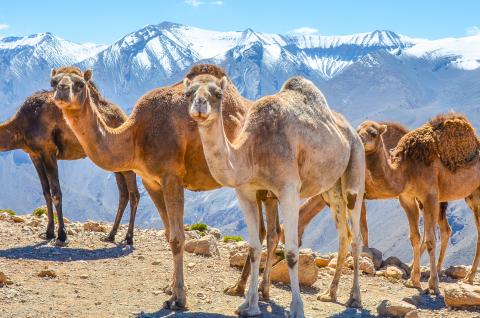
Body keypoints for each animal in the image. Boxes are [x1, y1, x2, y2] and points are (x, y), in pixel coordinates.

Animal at [0, 67, 139, 246]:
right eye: (52, 82)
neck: (23, 123)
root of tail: (124, 116)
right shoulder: (34, 154)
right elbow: (45, 192)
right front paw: (48, 232)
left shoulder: (48, 151)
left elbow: (56, 193)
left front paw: (61, 236)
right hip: (115, 162)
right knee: (123, 194)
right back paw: (110, 235)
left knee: (134, 194)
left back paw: (128, 238)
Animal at [50, 63, 286, 310]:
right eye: (53, 82)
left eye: (80, 83)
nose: (62, 90)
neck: (136, 135)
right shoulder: (151, 181)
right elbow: (167, 233)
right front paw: (170, 288)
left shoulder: (171, 176)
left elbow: (177, 237)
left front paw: (179, 298)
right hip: (254, 186)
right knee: (266, 231)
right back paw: (243, 288)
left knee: (270, 232)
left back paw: (257, 290)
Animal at [186, 74, 366, 316]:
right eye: (188, 93)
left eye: (218, 94)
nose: (200, 105)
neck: (252, 151)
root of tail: (353, 132)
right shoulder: (247, 193)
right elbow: (254, 247)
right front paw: (250, 305)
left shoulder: (289, 189)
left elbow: (290, 252)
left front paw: (297, 308)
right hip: (331, 189)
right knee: (343, 235)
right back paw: (330, 294)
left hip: (355, 168)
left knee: (356, 235)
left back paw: (354, 298)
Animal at [356, 113, 480, 294]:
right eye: (357, 130)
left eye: (373, 133)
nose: (358, 140)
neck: (406, 168)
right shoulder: (407, 199)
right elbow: (415, 237)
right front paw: (413, 280)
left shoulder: (430, 196)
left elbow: (430, 240)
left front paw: (433, 285)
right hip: (470, 195)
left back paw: (468, 277)